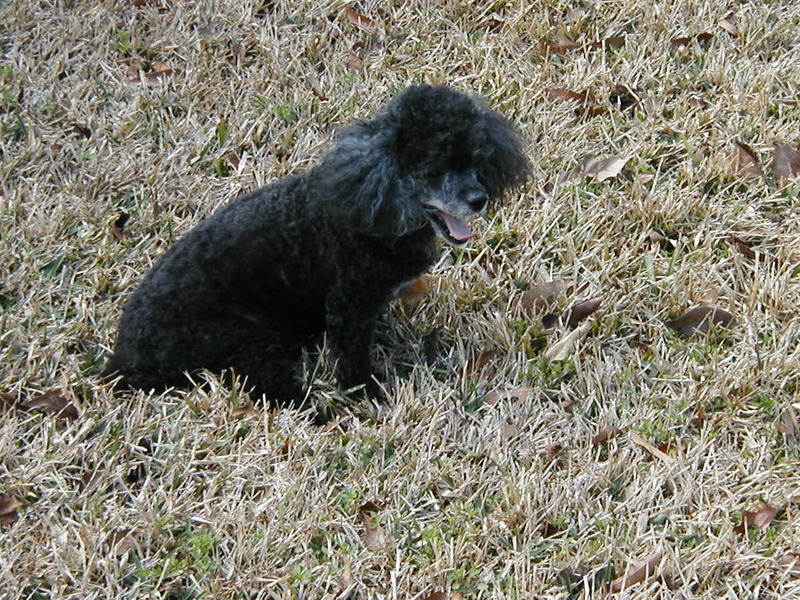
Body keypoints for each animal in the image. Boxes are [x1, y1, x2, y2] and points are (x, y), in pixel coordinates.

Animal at [106, 84, 532, 414]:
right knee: (277, 394)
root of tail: (124, 362)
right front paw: (369, 394)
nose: (478, 199)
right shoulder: (349, 303)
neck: (378, 211)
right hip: (243, 340)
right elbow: (352, 358)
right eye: (433, 169)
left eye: (475, 158)